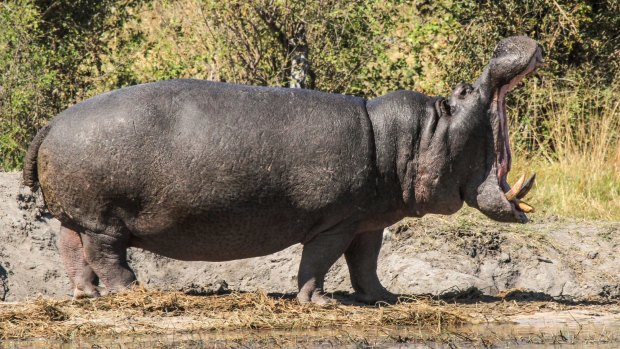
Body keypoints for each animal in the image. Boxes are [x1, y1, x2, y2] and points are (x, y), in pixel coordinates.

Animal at [21, 34, 540, 302]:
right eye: (462, 92)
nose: (509, 43)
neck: (412, 139)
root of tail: (51, 123)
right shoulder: (335, 221)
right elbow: (319, 261)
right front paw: (319, 302)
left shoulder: (369, 220)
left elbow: (365, 262)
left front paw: (385, 298)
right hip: (104, 218)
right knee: (107, 255)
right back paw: (133, 292)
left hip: (76, 214)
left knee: (70, 249)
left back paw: (86, 296)